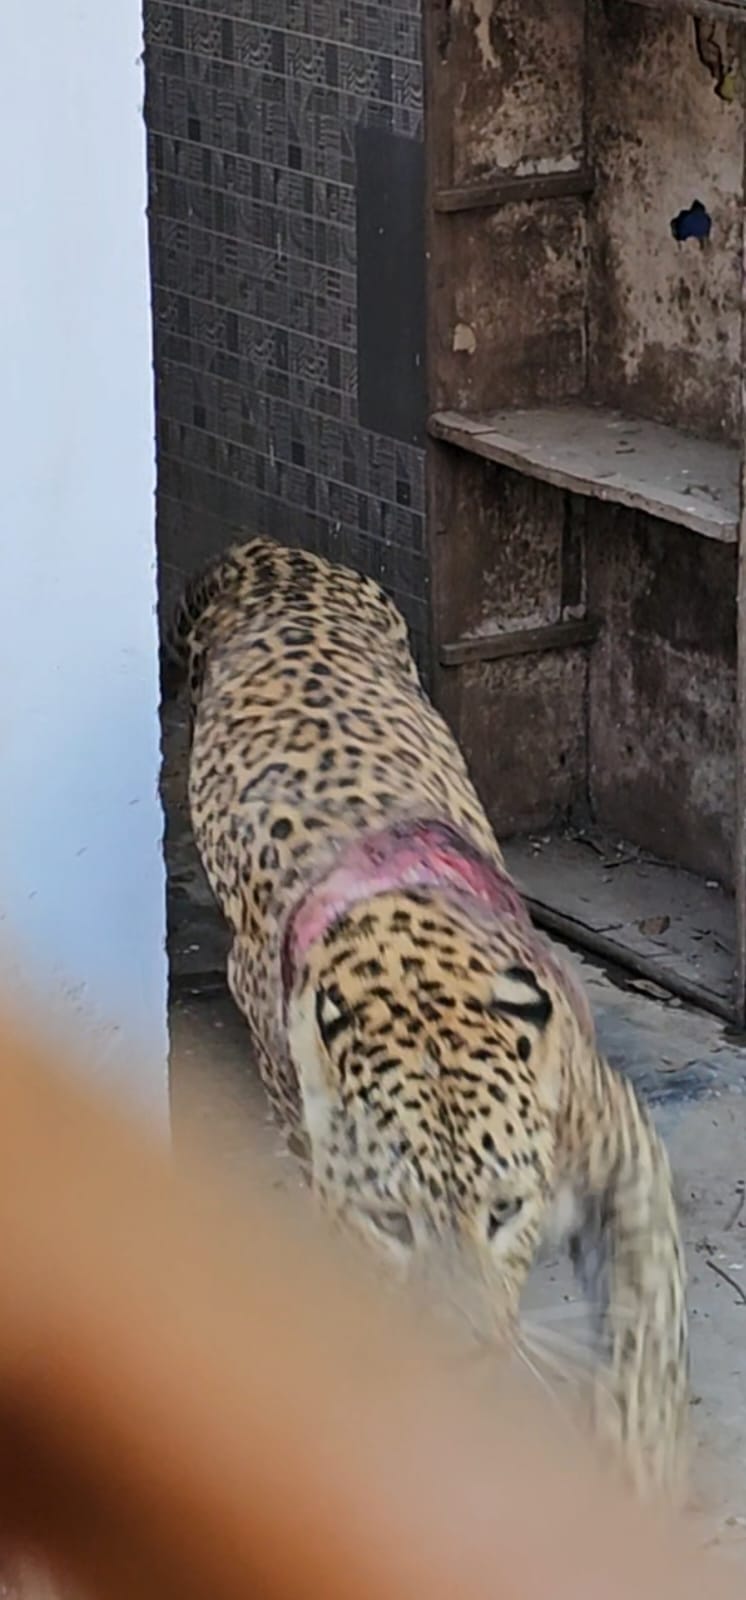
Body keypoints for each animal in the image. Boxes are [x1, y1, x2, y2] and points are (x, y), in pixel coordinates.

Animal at [164, 534, 689, 1502]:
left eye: (506, 1210)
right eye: (392, 1221)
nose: (465, 1352)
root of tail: (269, 548)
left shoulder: (620, 1144)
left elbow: (646, 1313)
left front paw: (642, 1456)